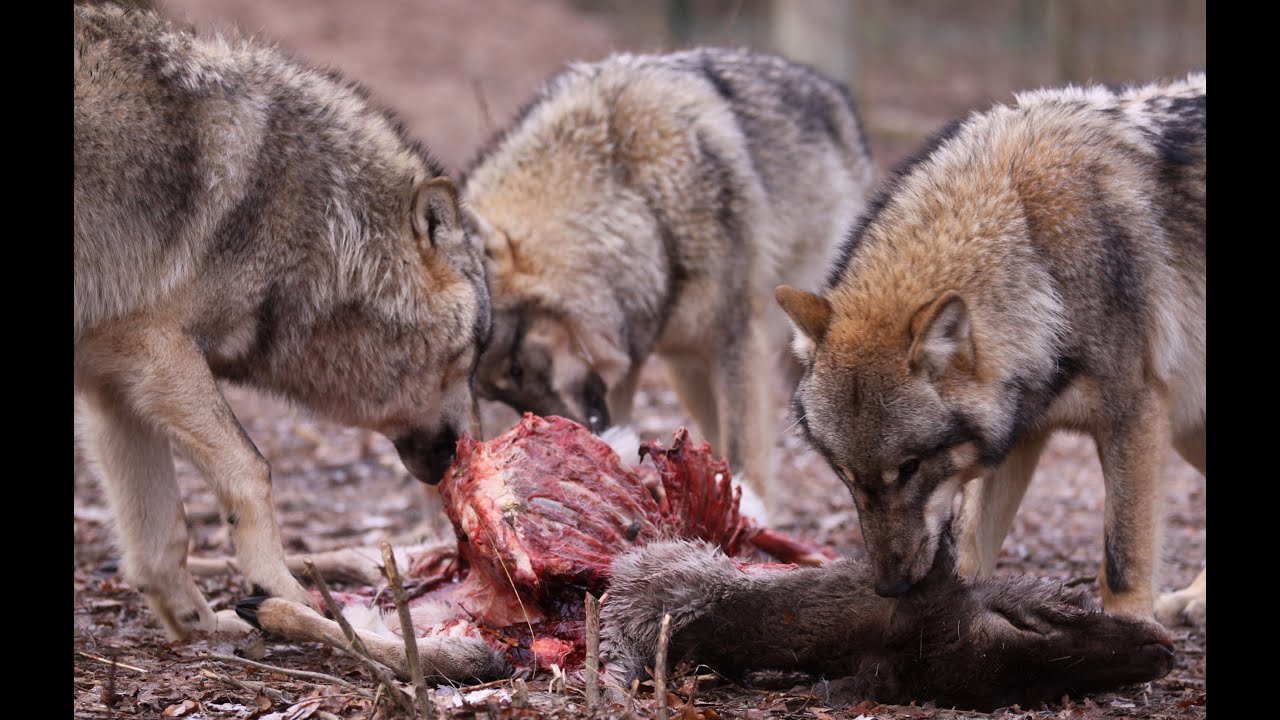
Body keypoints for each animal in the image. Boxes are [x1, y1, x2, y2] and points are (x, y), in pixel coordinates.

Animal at [74, 4, 490, 639]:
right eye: (470, 355)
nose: (463, 454)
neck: (312, 221)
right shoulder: (159, 347)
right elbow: (253, 469)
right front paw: (285, 593)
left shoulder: (113, 384)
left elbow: (160, 539)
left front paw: (199, 627)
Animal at [462, 47, 875, 514]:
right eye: (501, 394)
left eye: (516, 366)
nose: (559, 438)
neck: (638, 197)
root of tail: (828, 87)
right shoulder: (629, 365)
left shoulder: (736, 341)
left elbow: (745, 443)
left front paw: (752, 507)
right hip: (687, 369)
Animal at [777, 73, 1205, 624]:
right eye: (846, 476)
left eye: (910, 468)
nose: (890, 587)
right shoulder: (1020, 436)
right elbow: (971, 553)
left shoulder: (1133, 418)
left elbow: (1122, 561)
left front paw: (1129, 635)